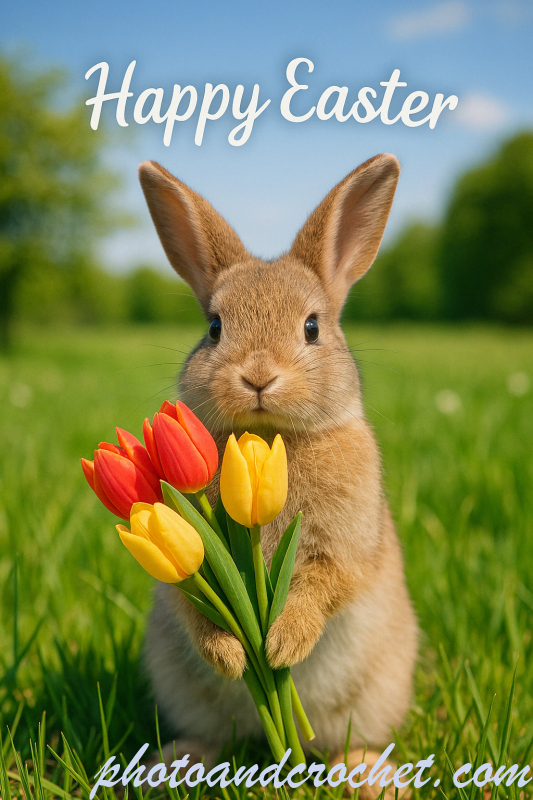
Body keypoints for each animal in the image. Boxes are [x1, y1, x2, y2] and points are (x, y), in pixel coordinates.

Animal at [137, 154, 418, 794]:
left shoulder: (343, 545)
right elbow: (193, 603)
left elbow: (324, 584)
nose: (259, 376)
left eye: (312, 327)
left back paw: (368, 776)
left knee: (346, 743)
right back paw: (173, 767)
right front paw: (232, 654)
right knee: (211, 738)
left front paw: (282, 646)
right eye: (215, 327)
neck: (268, 443)